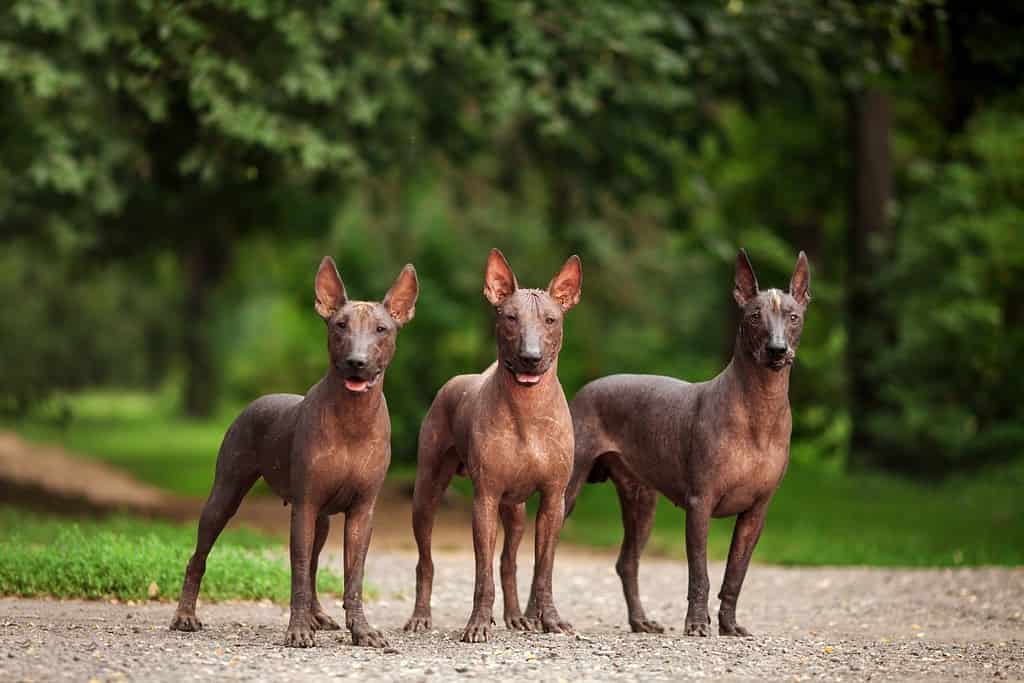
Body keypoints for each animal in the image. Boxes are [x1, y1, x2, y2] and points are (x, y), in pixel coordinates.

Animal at [169, 258, 417, 651]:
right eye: (340, 325)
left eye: (382, 329)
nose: (357, 362)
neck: (352, 418)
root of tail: (259, 400)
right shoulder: (305, 506)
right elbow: (298, 571)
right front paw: (298, 629)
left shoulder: (362, 512)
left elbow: (353, 577)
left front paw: (361, 630)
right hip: (225, 496)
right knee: (199, 557)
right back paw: (185, 616)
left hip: (323, 520)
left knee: (315, 566)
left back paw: (318, 616)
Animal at [401, 249, 581, 643]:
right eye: (510, 318)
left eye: (550, 320)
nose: (530, 356)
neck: (527, 410)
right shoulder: (484, 499)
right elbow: (481, 574)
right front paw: (478, 623)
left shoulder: (553, 499)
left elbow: (543, 570)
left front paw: (550, 619)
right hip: (426, 494)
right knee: (425, 561)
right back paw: (420, 617)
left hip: (515, 511)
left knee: (508, 562)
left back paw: (516, 617)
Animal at [565, 249, 811, 634]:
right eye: (755, 316)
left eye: (794, 317)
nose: (776, 349)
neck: (759, 409)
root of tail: (584, 390)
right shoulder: (700, 505)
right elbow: (700, 575)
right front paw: (697, 623)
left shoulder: (756, 513)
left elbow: (735, 575)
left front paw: (729, 625)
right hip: (568, 492)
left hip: (642, 502)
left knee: (627, 562)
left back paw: (640, 621)